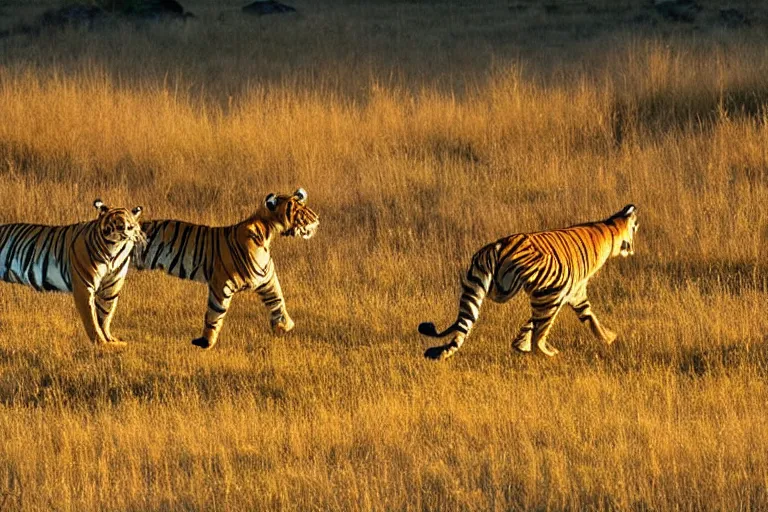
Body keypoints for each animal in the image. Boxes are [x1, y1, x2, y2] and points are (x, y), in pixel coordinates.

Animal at [0, 198, 144, 346]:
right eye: (118, 225)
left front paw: (110, 340)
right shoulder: (84, 287)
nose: (126, 233)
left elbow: (105, 314)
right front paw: (101, 343)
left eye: (130, 226)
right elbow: (91, 318)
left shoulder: (111, 287)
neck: (113, 252)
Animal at [134, 189, 320, 352]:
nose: (318, 220)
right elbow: (215, 313)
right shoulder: (221, 283)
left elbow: (277, 299)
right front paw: (205, 342)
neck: (267, 233)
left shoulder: (266, 278)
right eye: (299, 210)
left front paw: (284, 325)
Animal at [416, 204, 640, 360]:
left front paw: (608, 337)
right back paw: (551, 354)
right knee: (539, 337)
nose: (633, 249)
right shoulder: (557, 292)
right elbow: (541, 325)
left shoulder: (573, 294)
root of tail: (497, 246)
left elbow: (587, 317)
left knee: (464, 324)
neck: (610, 227)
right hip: (545, 290)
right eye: (636, 227)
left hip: (474, 287)